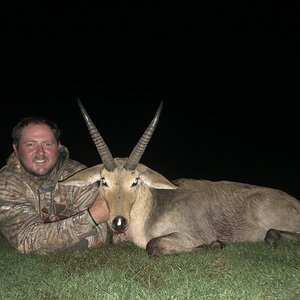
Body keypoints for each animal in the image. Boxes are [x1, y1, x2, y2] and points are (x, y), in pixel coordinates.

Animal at [59, 100, 300, 258]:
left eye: (135, 181)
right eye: (103, 181)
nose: (119, 223)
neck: (153, 207)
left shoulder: (187, 235)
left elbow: (153, 245)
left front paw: (215, 244)